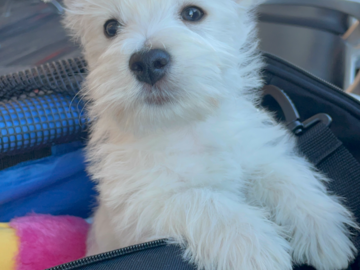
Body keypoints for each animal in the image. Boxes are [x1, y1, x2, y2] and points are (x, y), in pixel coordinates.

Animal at [63, 0, 356, 270]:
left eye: (193, 13)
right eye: (110, 28)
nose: (147, 62)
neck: (186, 124)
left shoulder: (255, 149)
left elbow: (282, 174)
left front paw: (323, 230)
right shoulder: (142, 203)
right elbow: (203, 201)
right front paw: (256, 248)